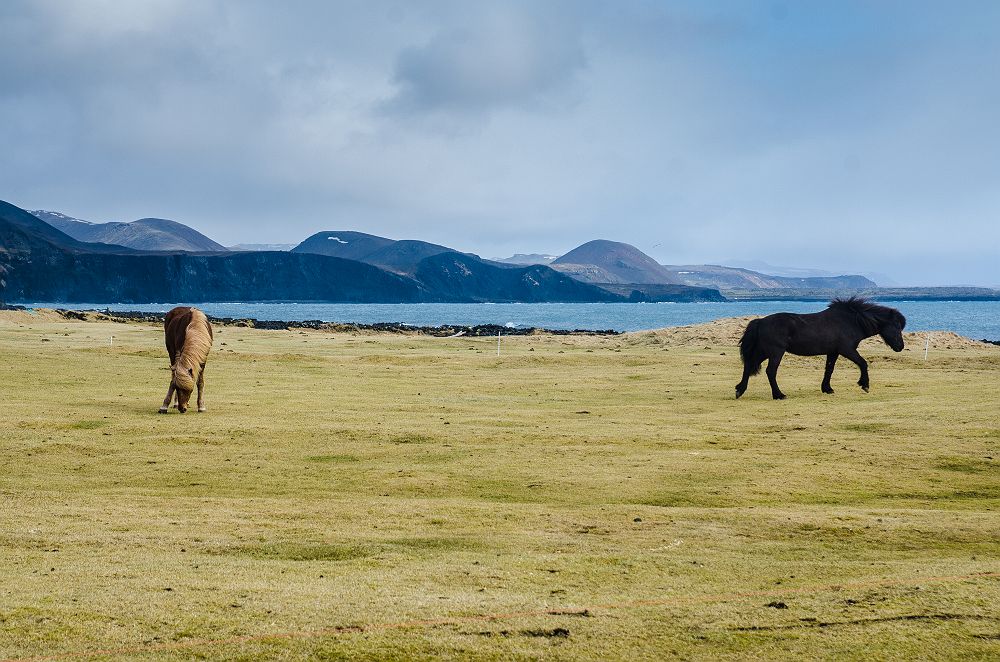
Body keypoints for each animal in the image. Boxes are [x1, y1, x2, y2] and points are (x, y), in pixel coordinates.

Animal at [735, 297, 906, 400]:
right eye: (896, 326)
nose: (901, 346)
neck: (852, 321)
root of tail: (760, 322)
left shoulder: (833, 352)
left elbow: (829, 370)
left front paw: (827, 388)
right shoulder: (847, 350)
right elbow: (863, 363)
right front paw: (864, 385)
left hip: (764, 352)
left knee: (749, 365)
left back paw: (740, 390)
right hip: (775, 352)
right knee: (770, 371)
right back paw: (779, 394)